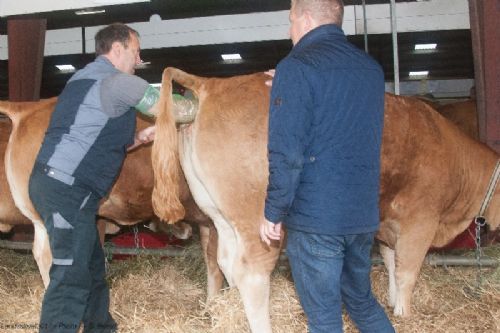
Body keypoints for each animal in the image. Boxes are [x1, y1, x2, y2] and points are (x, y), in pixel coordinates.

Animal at [150, 68, 498, 330]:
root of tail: (213, 83)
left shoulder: (387, 223)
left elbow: (390, 262)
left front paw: (392, 302)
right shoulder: (421, 219)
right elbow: (408, 272)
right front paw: (405, 315)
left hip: (221, 216)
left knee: (226, 262)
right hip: (257, 222)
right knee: (251, 274)